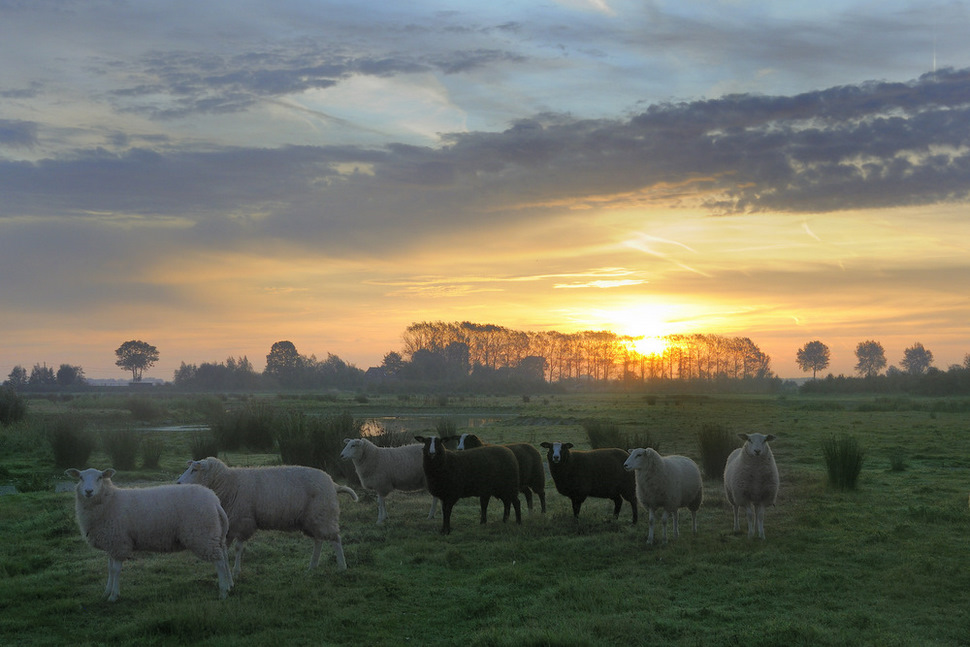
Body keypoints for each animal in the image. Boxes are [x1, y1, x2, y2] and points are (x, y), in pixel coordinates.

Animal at [65, 466, 233, 604]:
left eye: (99, 477)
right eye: (80, 478)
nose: (88, 491)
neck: (110, 500)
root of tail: (214, 501)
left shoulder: (119, 543)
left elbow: (116, 570)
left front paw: (113, 596)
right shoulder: (111, 543)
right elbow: (110, 568)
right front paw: (106, 592)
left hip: (203, 535)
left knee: (219, 561)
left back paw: (223, 592)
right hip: (215, 534)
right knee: (224, 557)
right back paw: (229, 585)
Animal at [177, 456, 356, 576]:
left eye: (194, 469)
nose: (178, 483)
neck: (229, 482)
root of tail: (333, 483)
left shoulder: (243, 521)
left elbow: (238, 548)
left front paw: (236, 570)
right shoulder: (230, 525)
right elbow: (225, 549)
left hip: (323, 514)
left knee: (335, 539)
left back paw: (342, 566)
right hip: (313, 518)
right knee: (318, 540)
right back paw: (312, 566)